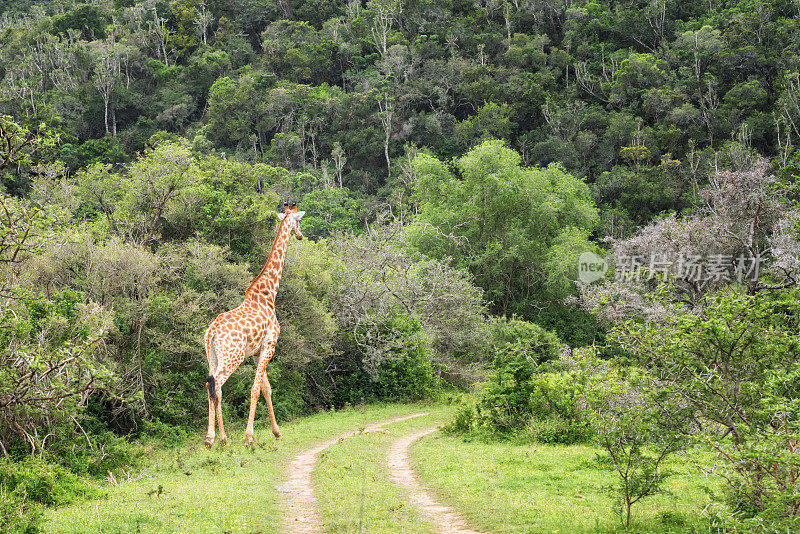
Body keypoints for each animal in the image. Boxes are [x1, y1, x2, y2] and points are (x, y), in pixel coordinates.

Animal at [205, 202, 304, 448]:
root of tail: (211, 333)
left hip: (213, 357)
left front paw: (277, 432)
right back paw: (216, 438)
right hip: (233, 357)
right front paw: (249, 436)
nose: (300, 235)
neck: (268, 294)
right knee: (217, 385)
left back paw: (217, 438)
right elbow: (256, 388)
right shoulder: (270, 345)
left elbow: (266, 388)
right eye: (299, 220)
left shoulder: (257, 351)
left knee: (211, 386)